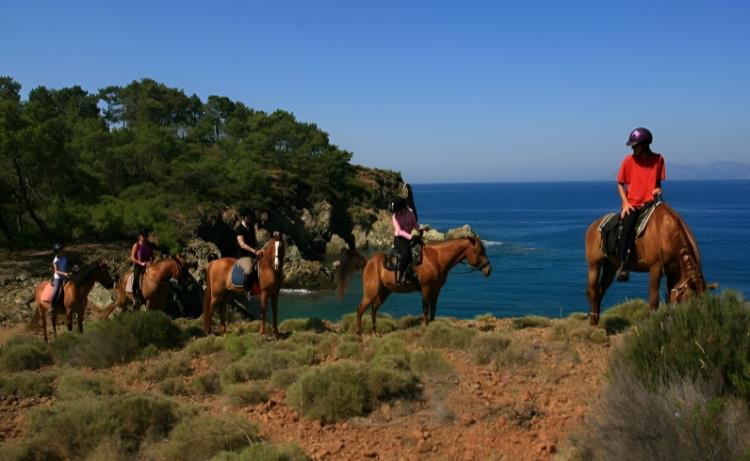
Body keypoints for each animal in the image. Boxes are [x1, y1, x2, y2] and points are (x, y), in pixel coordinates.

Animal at [338, 237, 492, 335]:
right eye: (479, 252)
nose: (488, 270)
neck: (437, 259)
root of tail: (368, 262)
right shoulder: (426, 288)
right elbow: (425, 309)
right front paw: (425, 327)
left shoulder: (436, 290)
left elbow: (433, 310)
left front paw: (433, 326)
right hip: (371, 292)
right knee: (360, 310)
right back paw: (359, 335)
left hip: (384, 292)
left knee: (374, 309)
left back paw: (375, 334)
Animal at [585, 203, 717, 325]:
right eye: (687, 301)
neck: (667, 232)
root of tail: (594, 225)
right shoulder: (655, 269)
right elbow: (654, 301)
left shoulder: (673, 273)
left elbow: (669, 298)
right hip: (594, 266)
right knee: (592, 290)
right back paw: (592, 320)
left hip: (610, 266)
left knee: (601, 290)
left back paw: (596, 318)